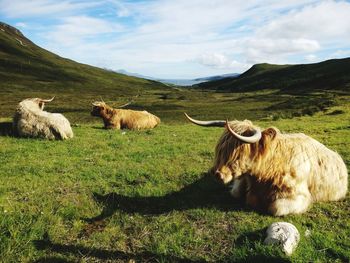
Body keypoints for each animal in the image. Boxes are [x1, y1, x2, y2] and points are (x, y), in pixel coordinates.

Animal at [185, 113, 348, 217]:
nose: (216, 173)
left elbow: (275, 208)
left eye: (238, 152)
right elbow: (236, 192)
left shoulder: (300, 196)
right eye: (220, 150)